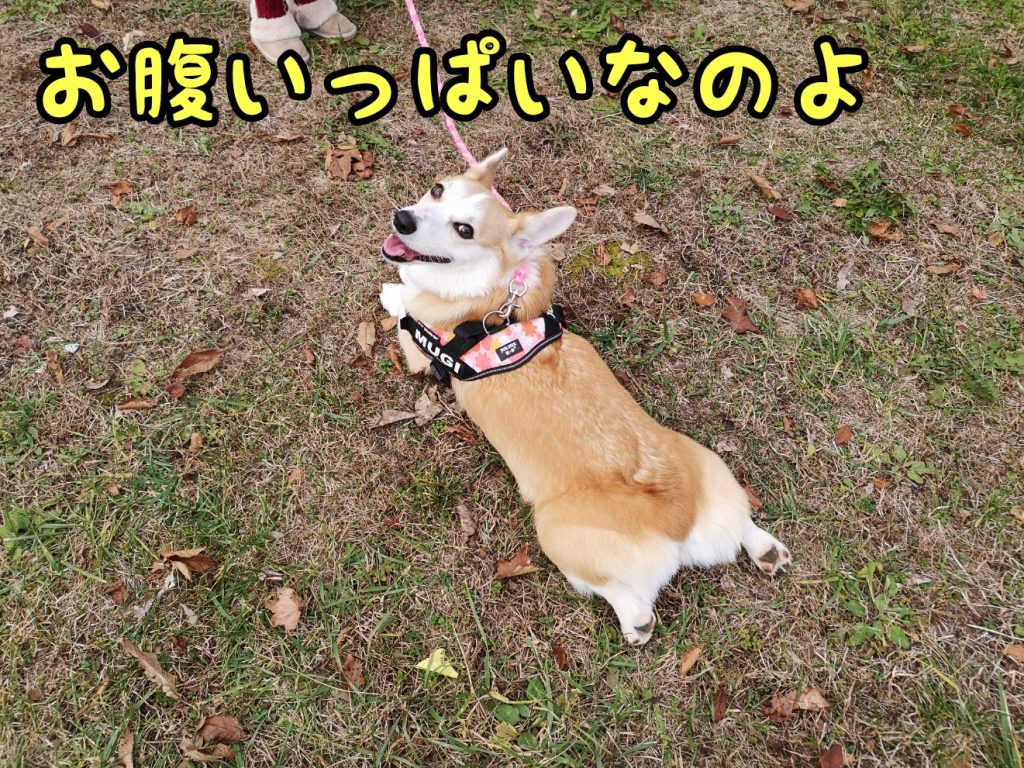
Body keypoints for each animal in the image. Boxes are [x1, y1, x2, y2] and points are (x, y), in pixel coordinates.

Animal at [379, 148, 790, 646]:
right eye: (437, 190)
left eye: (465, 230)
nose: (402, 220)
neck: (492, 291)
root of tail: (675, 520)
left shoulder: (419, 348)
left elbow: (402, 303)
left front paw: (392, 291)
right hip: (707, 465)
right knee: (742, 523)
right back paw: (766, 549)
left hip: (556, 533)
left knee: (622, 597)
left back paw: (634, 621)